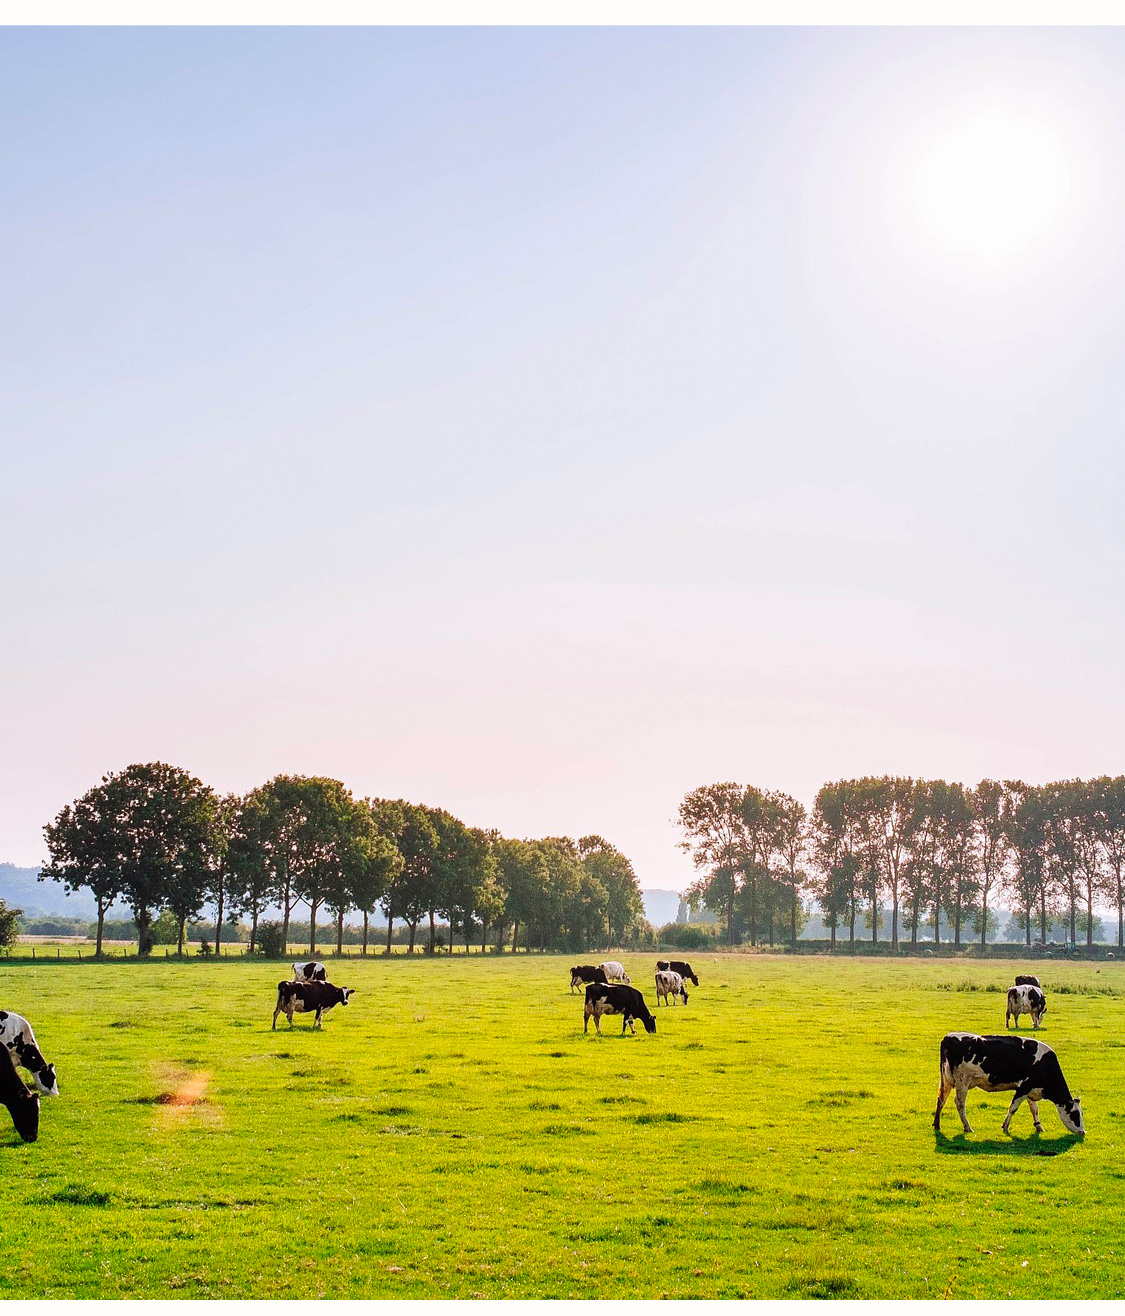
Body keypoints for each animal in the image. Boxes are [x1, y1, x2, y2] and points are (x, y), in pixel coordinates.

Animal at [931, 1031, 1084, 1137]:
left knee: (941, 1099)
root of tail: (949, 1036)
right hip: (962, 1081)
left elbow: (1034, 1109)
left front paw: (1039, 1127)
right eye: (1075, 1114)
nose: (1083, 1132)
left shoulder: (1031, 1089)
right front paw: (1005, 1127)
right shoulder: (1023, 1087)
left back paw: (937, 1125)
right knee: (960, 1103)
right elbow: (1013, 1108)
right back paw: (967, 1127)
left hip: (947, 1080)